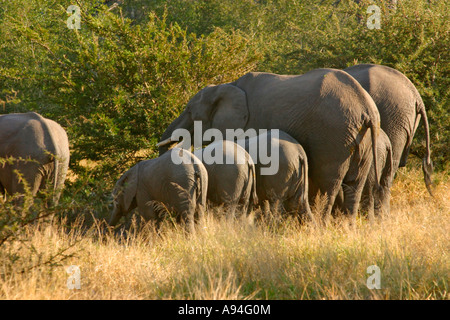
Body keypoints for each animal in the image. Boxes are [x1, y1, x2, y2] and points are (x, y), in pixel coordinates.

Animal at [156, 68, 382, 219]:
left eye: (189, 111)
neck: (228, 86)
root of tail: (366, 108)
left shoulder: (248, 124)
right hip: (359, 138)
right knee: (354, 184)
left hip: (333, 136)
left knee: (329, 183)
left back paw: (322, 223)